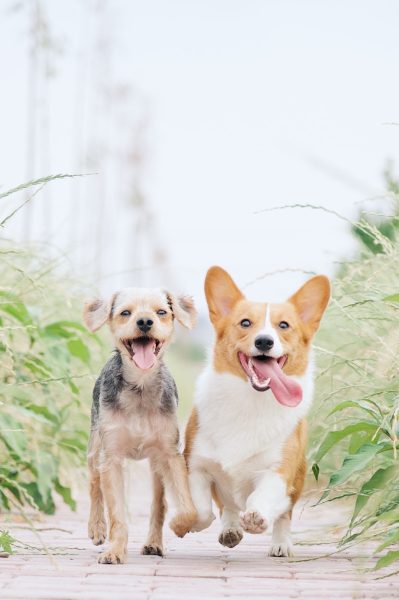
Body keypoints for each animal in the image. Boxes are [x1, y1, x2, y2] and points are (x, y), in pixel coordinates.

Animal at [83, 288, 198, 564]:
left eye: (161, 312)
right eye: (125, 312)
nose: (145, 322)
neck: (140, 386)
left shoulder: (170, 454)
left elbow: (187, 507)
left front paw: (181, 525)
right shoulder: (111, 457)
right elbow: (117, 514)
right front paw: (114, 550)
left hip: (156, 465)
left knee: (159, 503)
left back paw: (154, 543)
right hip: (95, 447)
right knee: (94, 483)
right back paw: (97, 528)